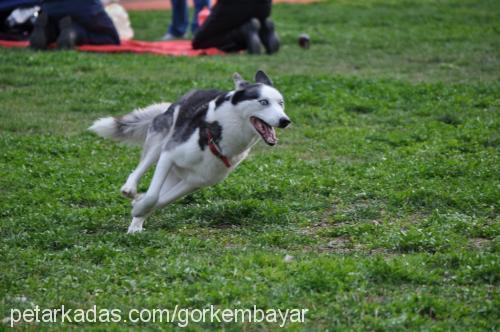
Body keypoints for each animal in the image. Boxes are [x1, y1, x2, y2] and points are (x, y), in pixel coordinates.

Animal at [90, 70, 292, 233]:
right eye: (263, 102)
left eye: (281, 103)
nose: (285, 121)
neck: (220, 137)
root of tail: (187, 95)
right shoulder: (168, 156)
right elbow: (153, 196)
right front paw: (138, 204)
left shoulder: (195, 181)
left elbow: (159, 200)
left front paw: (138, 207)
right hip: (160, 144)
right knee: (139, 169)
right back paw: (130, 189)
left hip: (176, 176)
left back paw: (136, 225)